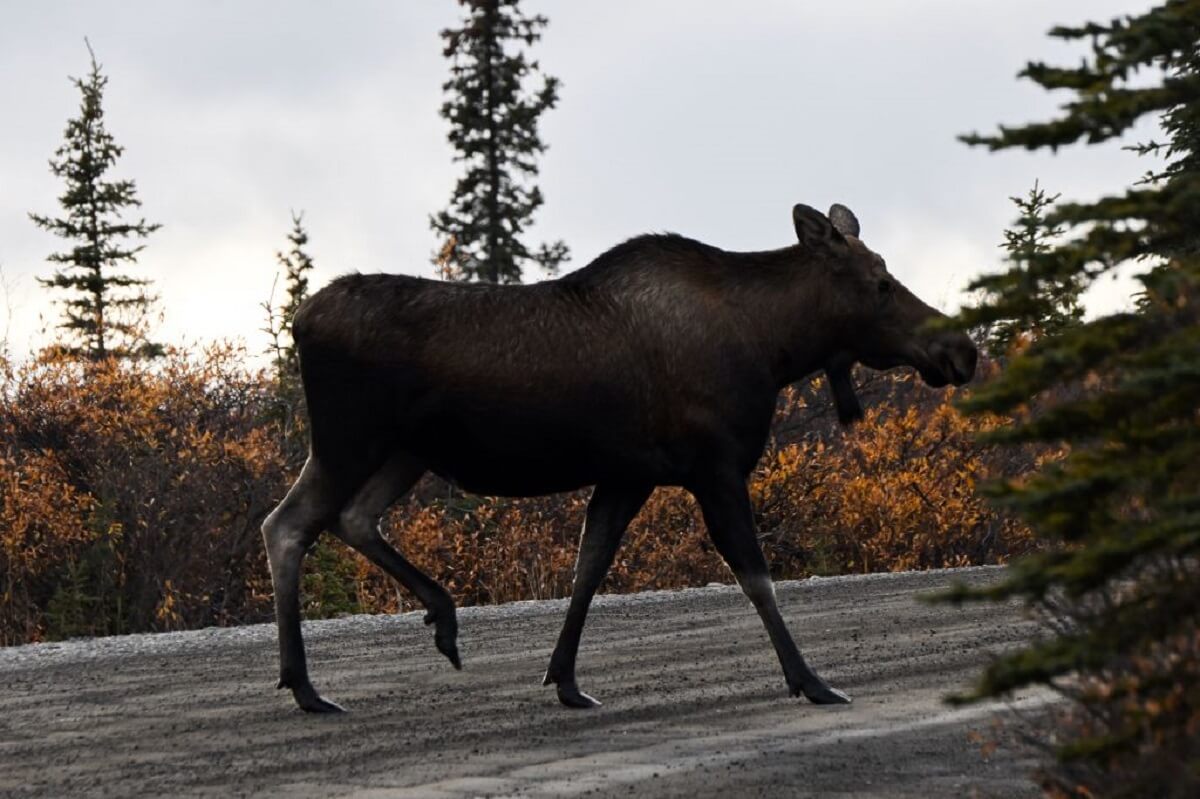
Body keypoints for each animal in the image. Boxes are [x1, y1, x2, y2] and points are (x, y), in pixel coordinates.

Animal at [262, 203, 974, 710]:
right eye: (880, 284)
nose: (962, 351)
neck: (775, 348)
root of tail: (300, 320)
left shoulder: (629, 475)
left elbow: (590, 566)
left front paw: (566, 680)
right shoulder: (715, 467)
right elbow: (756, 576)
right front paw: (812, 680)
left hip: (402, 453)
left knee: (349, 519)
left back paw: (434, 621)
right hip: (350, 440)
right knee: (287, 525)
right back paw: (306, 686)